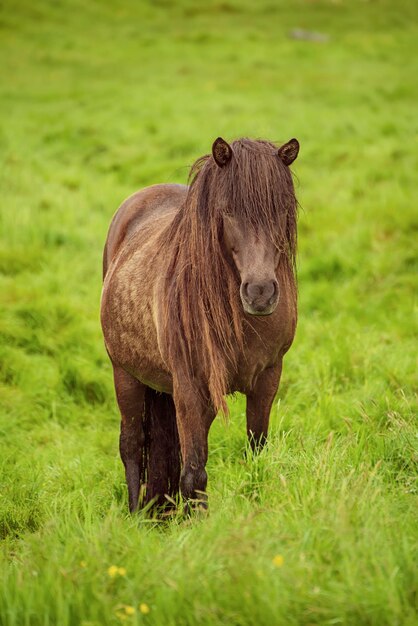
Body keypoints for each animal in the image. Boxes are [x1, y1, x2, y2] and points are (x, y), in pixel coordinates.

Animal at [100, 134, 298, 510]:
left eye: (281, 209)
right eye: (228, 211)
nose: (260, 292)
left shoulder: (268, 377)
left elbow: (257, 454)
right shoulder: (191, 387)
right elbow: (194, 474)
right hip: (125, 375)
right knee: (131, 447)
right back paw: (135, 514)